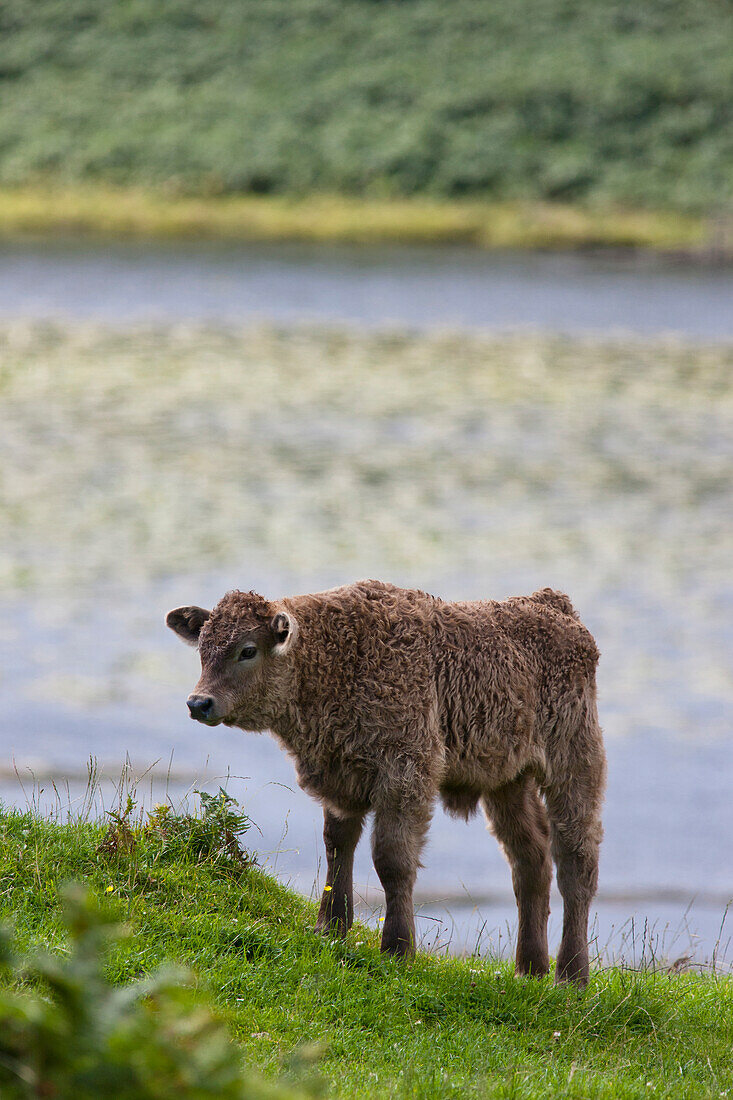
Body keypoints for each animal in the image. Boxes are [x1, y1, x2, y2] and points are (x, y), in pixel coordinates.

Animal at [167, 580, 603, 985]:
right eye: (203, 648)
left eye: (247, 650)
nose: (198, 703)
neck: (336, 658)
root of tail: (551, 603)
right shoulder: (340, 776)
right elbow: (337, 845)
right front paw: (330, 928)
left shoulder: (405, 773)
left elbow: (392, 859)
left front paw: (397, 946)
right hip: (508, 780)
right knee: (530, 859)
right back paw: (530, 968)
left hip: (574, 761)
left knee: (576, 859)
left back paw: (572, 974)